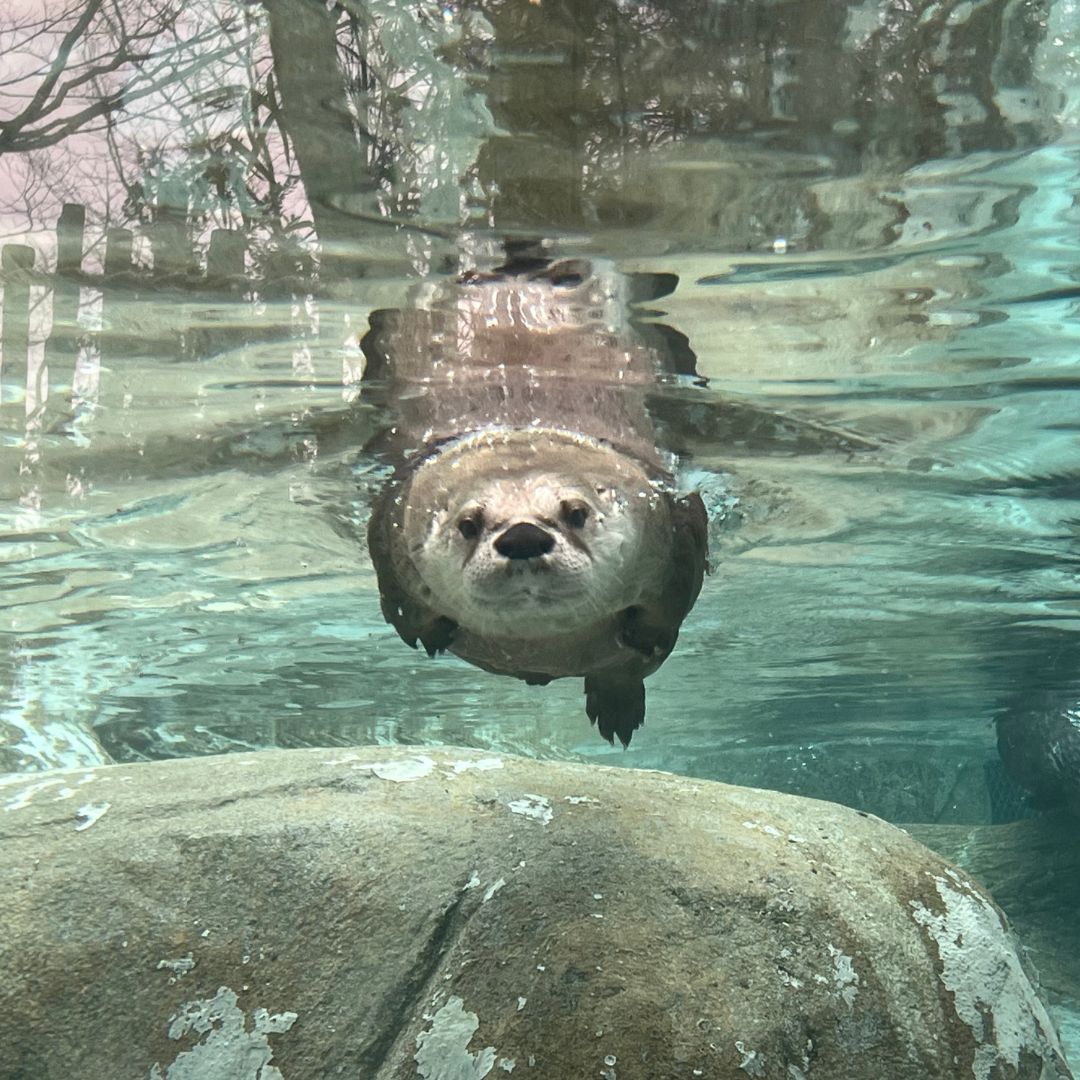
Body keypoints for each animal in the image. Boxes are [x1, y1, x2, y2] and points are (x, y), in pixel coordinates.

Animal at [363, 246, 708, 746]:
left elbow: (678, 593)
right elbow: (396, 597)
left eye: (577, 513)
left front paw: (647, 632)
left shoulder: (674, 514)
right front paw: (427, 631)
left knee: (621, 673)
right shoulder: (390, 518)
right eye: (468, 524)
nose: (523, 536)